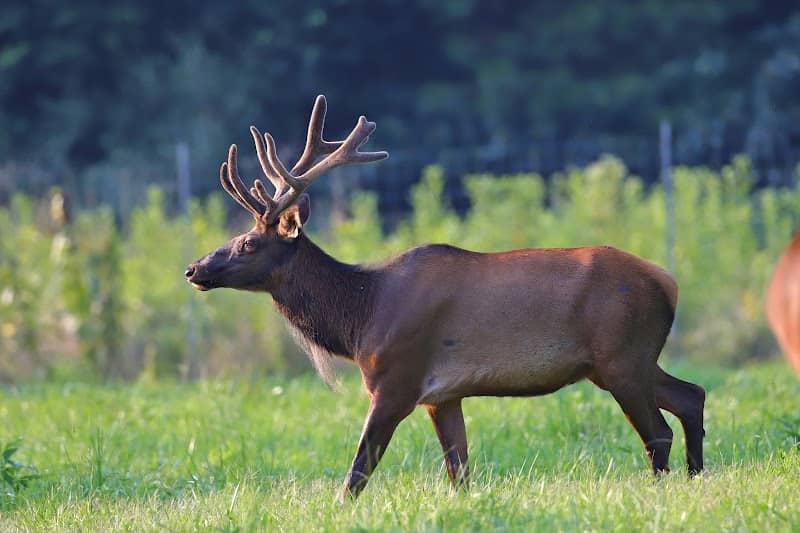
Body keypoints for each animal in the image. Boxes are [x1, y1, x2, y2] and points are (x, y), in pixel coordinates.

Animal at [184, 95, 706, 500]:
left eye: (249, 242)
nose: (194, 269)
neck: (360, 319)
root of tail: (669, 281)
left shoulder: (397, 379)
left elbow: (358, 471)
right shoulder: (443, 395)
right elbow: (459, 472)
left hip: (621, 355)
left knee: (658, 431)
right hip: (625, 360)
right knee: (692, 396)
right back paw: (696, 479)